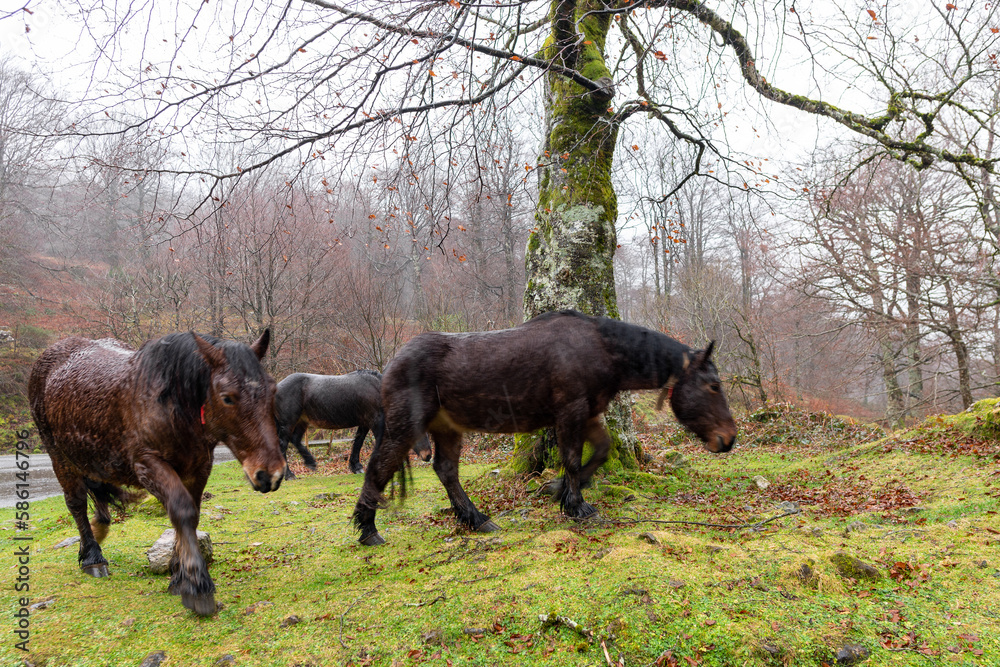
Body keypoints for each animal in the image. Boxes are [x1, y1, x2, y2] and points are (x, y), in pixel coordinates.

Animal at [28, 328, 286, 616]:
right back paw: (92, 557)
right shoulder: (149, 465)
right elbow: (182, 511)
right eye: (227, 397)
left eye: (272, 389)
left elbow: (190, 516)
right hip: (60, 458)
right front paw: (196, 584)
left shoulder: (198, 468)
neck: (171, 404)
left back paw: (99, 530)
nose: (270, 474)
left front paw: (180, 576)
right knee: (76, 503)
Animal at [352, 310, 736, 544]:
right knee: (378, 468)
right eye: (713, 385)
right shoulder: (571, 413)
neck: (598, 348)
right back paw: (367, 529)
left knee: (446, 471)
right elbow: (572, 459)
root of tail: (391, 365)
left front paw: (559, 491)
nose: (729, 439)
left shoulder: (589, 414)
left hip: (448, 428)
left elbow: (599, 452)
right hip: (405, 427)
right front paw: (577, 506)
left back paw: (477, 519)